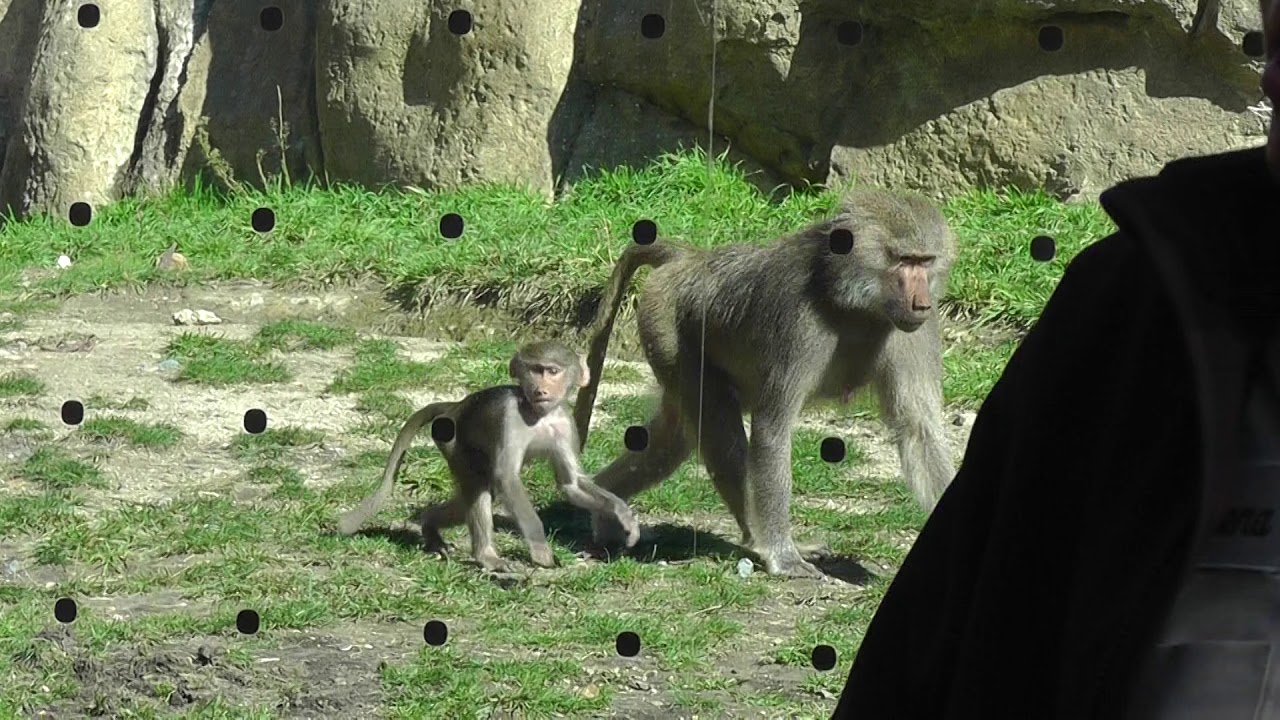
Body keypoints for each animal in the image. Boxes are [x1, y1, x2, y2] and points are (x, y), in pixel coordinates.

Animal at [336, 340, 642, 572]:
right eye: (535, 370)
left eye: (552, 371)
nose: (541, 389)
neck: (539, 415)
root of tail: (456, 406)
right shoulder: (511, 416)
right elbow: (507, 478)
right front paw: (540, 550)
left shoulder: (565, 424)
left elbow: (572, 484)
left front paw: (622, 514)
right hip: (453, 443)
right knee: (479, 489)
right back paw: (487, 557)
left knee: (476, 494)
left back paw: (431, 525)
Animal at [574, 187, 958, 579]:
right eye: (903, 260)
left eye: (925, 261)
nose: (922, 302)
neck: (851, 298)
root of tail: (690, 258)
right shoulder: (797, 319)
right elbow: (774, 429)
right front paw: (783, 557)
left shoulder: (917, 331)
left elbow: (919, 430)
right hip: (667, 327)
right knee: (719, 432)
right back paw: (755, 539)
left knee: (670, 443)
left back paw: (605, 504)